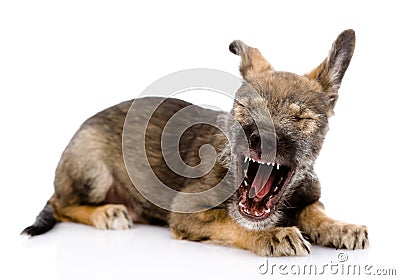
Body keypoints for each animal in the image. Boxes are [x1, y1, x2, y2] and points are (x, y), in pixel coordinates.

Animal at [22, 30, 368, 256]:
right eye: (244, 110)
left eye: (300, 119)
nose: (259, 138)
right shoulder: (187, 213)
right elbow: (234, 224)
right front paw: (273, 234)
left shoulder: (311, 195)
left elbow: (315, 212)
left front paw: (340, 226)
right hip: (93, 171)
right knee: (61, 205)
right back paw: (106, 213)